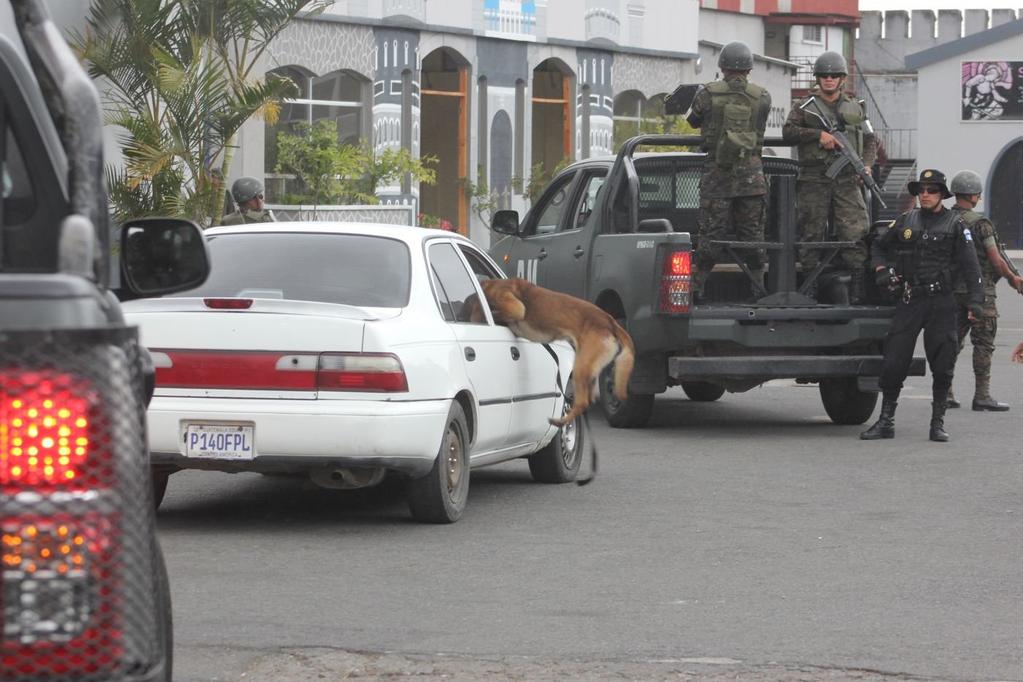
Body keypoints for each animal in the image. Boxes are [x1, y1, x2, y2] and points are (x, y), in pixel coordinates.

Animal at [472, 278, 630, 427]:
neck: (492, 285)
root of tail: (610, 321)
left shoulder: (515, 307)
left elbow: (500, 313)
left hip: (581, 367)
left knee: (582, 403)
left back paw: (559, 422)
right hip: (589, 369)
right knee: (588, 399)